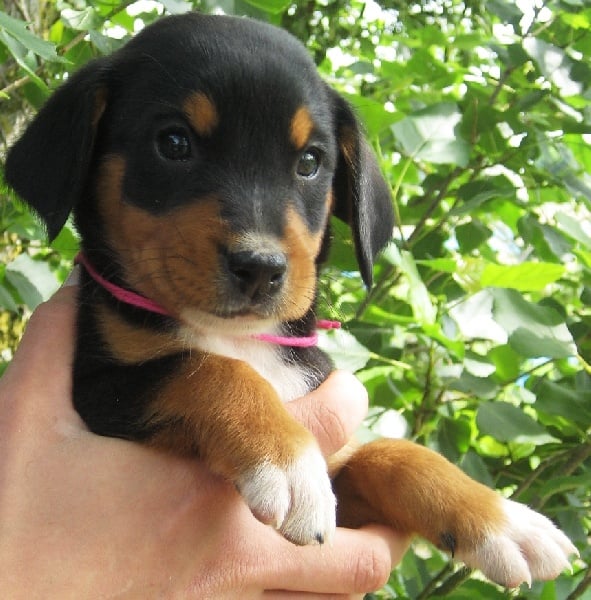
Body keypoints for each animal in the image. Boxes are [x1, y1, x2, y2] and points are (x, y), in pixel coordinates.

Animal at [5, 11, 580, 588]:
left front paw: (501, 520)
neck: (239, 337)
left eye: (309, 162)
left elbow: (393, 454)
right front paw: (287, 463)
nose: (260, 267)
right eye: (173, 143)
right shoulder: (102, 391)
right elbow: (208, 369)